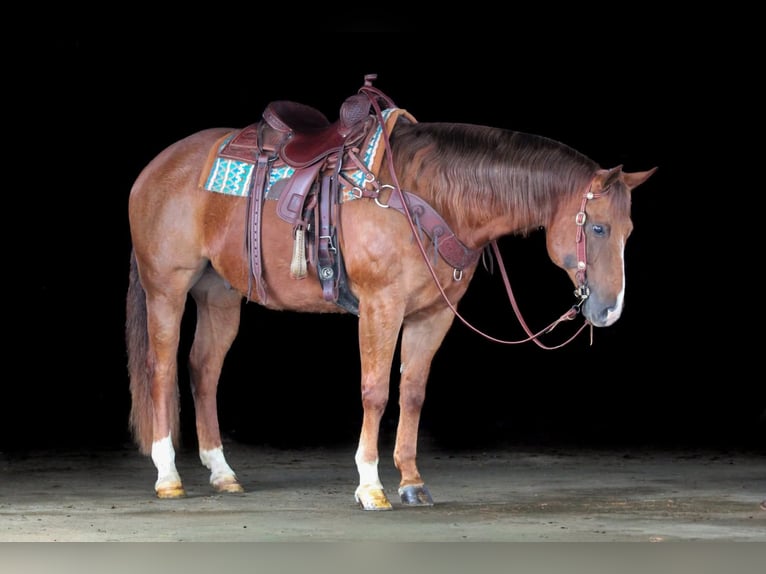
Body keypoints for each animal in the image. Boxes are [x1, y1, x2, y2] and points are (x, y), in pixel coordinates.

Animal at [126, 75, 656, 510]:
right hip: (167, 288)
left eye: (630, 231)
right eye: (600, 228)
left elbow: (413, 391)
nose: (609, 311)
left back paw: (222, 472)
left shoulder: (433, 313)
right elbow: (376, 390)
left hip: (220, 294)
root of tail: (156, 167)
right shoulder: (380, 306)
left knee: (203, 369)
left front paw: (412, 481)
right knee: (161, 368)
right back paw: (168, 476)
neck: (428, 195)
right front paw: (370, 485)